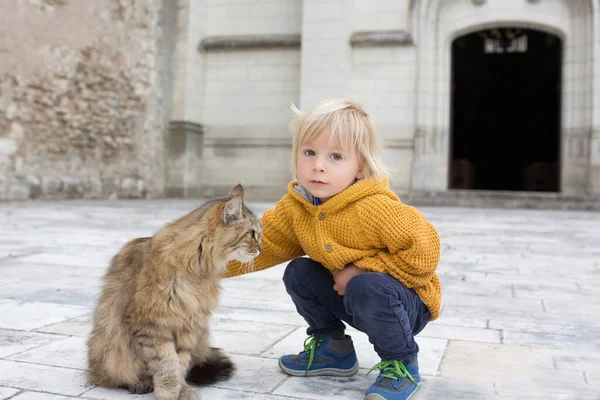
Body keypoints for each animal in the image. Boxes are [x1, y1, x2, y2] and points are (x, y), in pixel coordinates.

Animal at [86, 185, 262, 400]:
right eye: (252, 234)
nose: (261, 249)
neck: (198, 270)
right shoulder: (152, 325)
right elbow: (166, 364)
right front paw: (169, 393)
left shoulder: (189, 324)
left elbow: (180, 363)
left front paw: (183, 390)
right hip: (110, 345)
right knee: (112, 375)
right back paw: (139, 383)